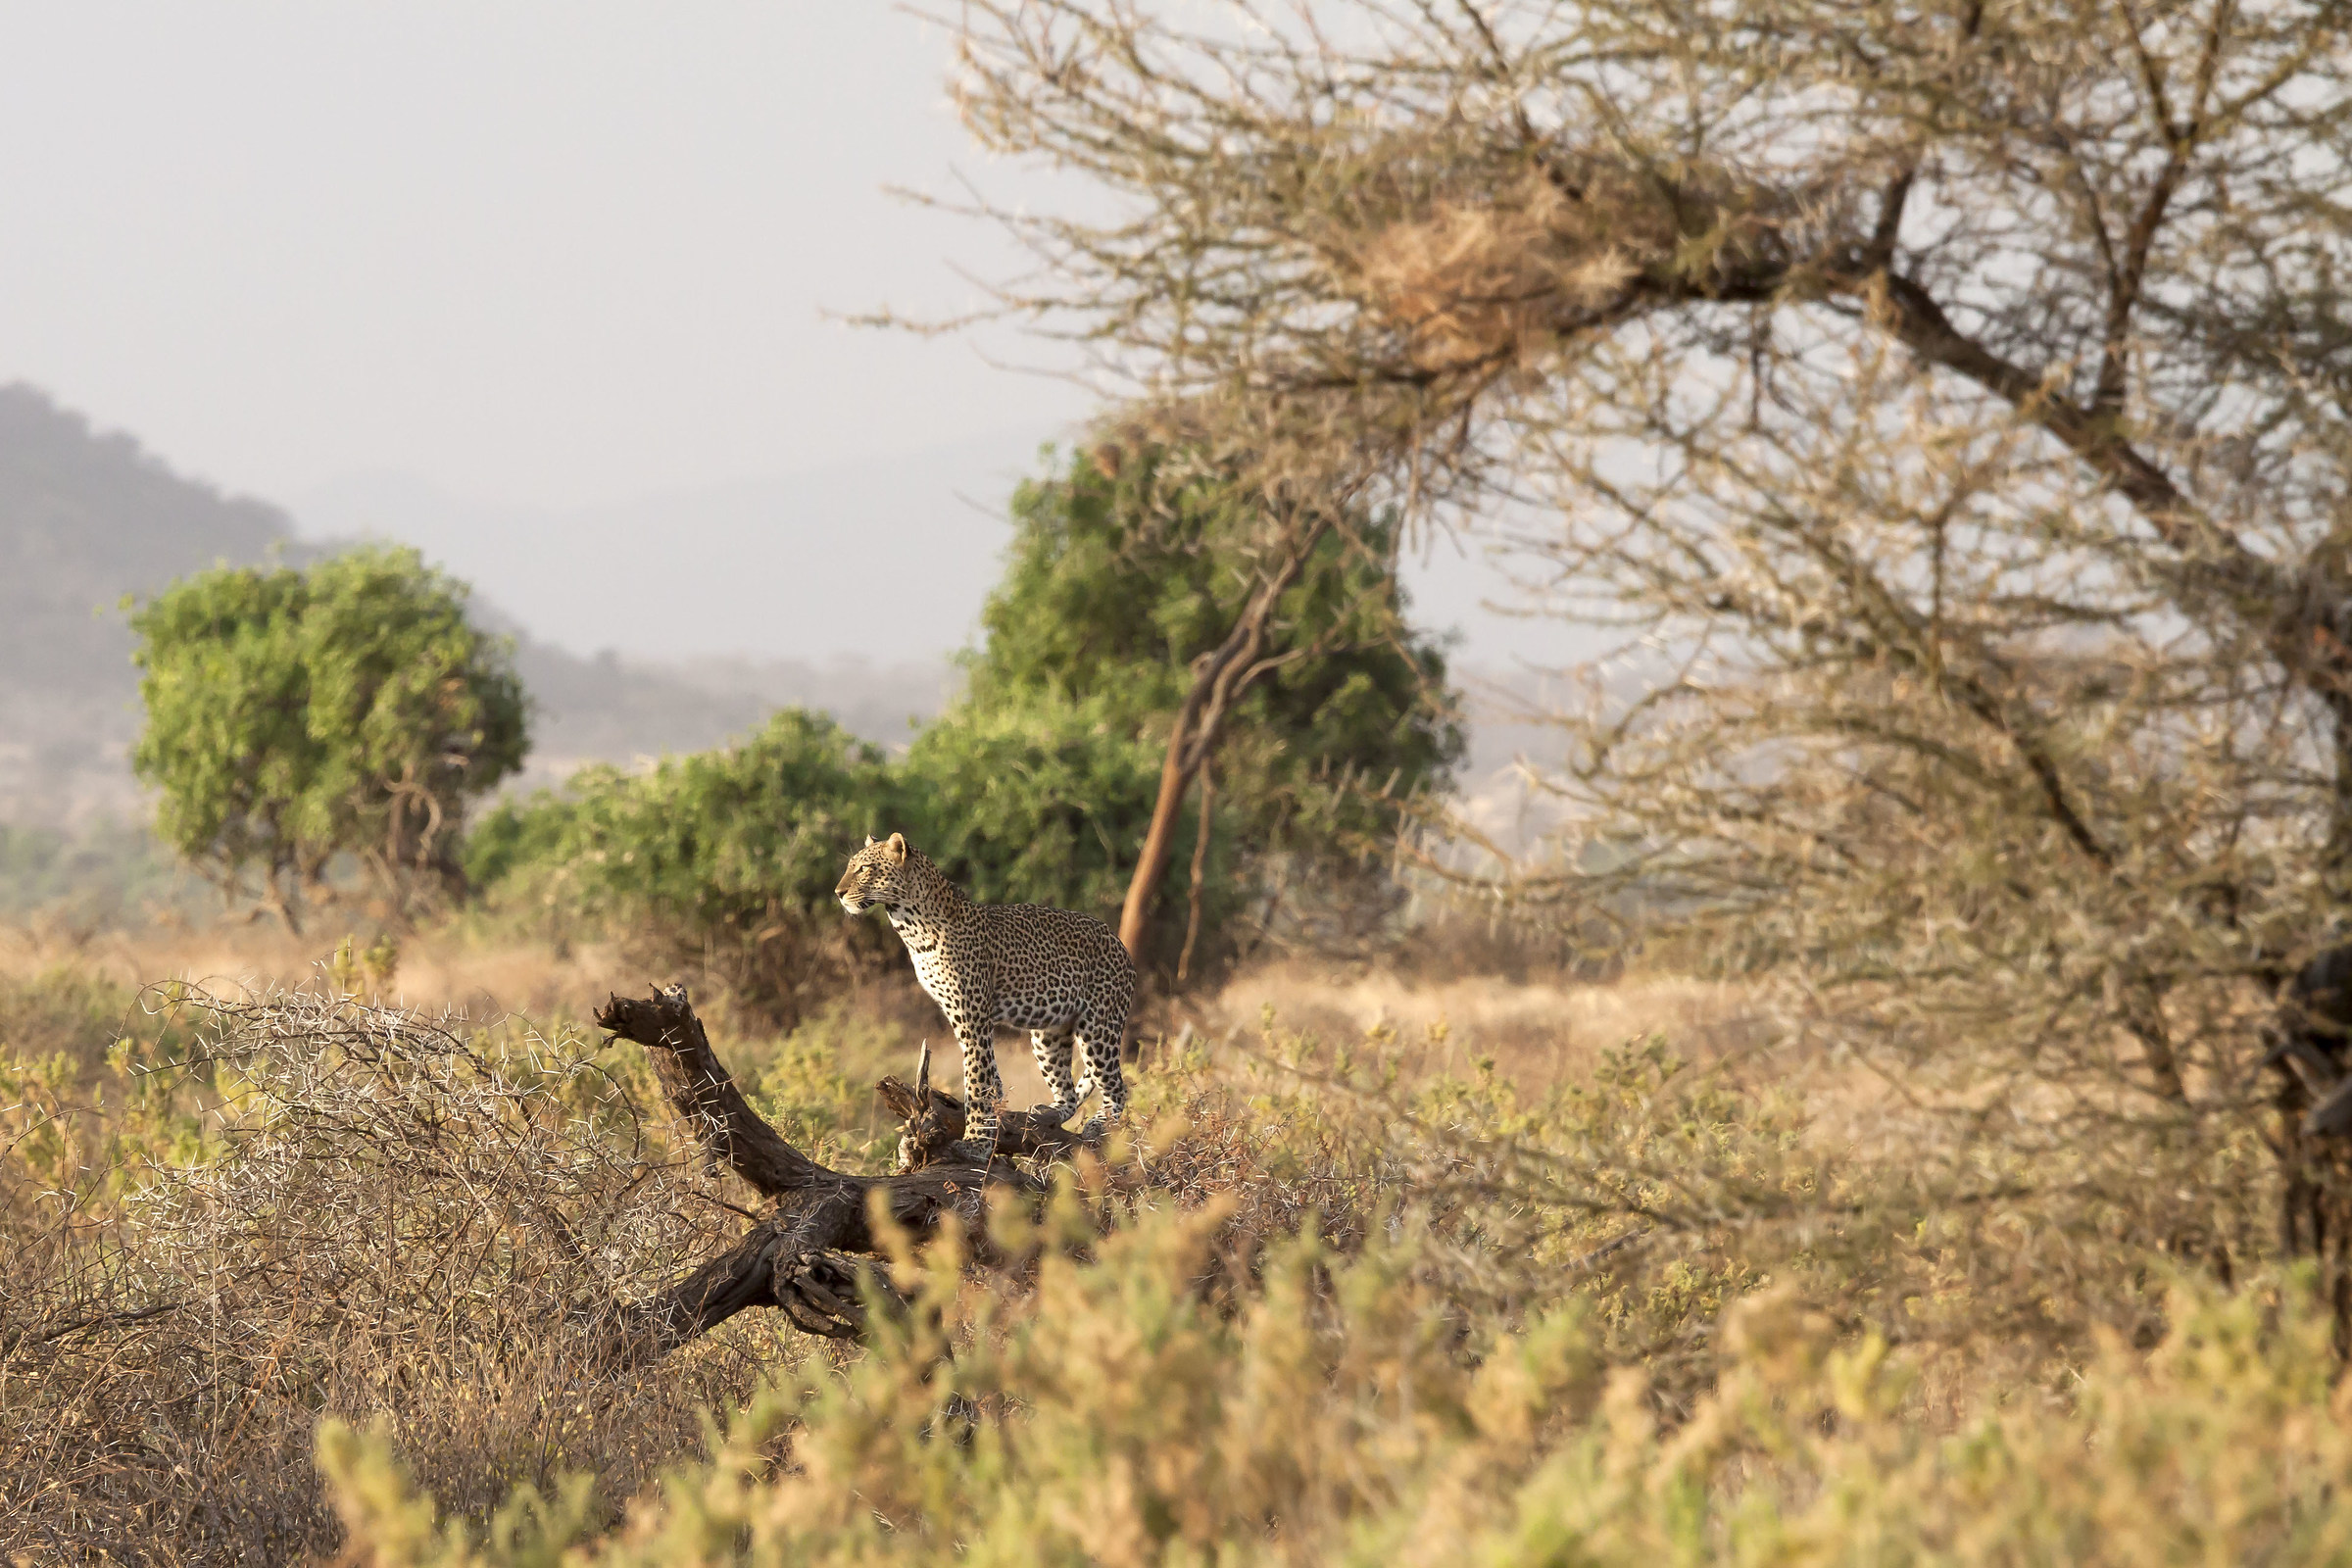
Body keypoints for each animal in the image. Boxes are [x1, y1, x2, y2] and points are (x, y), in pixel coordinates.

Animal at [837, 832, 1138, 1152]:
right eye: (851, 866)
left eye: (864, 869)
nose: (838, 892)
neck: (911, 928)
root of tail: (1121, 946)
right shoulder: (963, 1015)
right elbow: (990, 1075)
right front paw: (993, 1118)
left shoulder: (972, 1018)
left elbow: (976, 1080)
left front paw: (976, 1141)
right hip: (1049, 1034)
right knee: (1067, 1092)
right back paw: (1047, 1114)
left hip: (1099, 1028)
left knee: (1118, 1087)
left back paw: (1100, 1124)